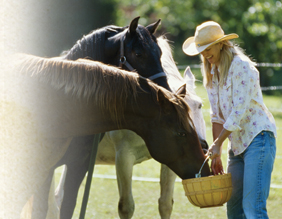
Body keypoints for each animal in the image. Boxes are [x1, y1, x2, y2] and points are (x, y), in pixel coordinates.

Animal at [0, 54, 209, 217]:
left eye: (199, 105)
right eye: (181, 132)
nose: (204, 158)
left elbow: (165, 205)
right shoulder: (123, 158)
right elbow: (126, 207)